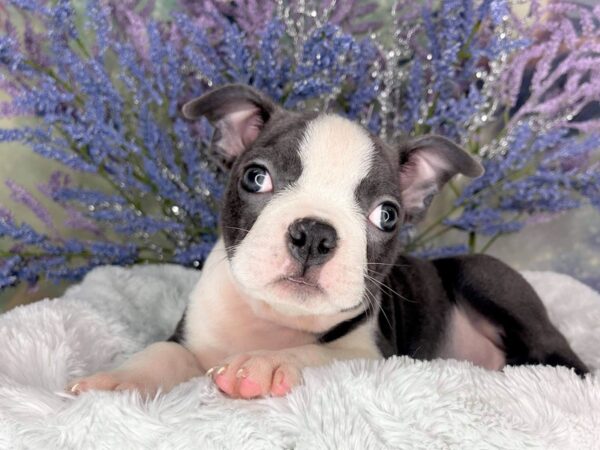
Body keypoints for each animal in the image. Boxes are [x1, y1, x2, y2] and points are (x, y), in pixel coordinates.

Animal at [68, 83, 588, 398]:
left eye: (387, 215)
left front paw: (264, 363)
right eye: (256, 177)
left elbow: (317, 352)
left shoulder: (370, 354)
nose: (315, 234)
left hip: (483, 276)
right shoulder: (190, 338)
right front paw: (117, 382)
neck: (272, 319)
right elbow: (162, 353)